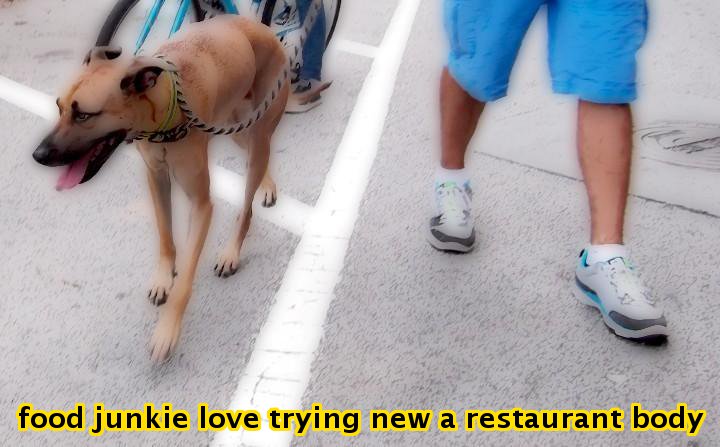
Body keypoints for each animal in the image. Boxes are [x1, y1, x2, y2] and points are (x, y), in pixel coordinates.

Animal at [32, 15, 290, 362]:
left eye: (84, 114)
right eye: (59, 107)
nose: (38, 155)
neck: (166, 107)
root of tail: (263, 28)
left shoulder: (201, 204)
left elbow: (184, 284)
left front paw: (166, 331)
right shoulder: (156, 178)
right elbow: (165, 236)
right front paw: (164, 277)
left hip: (258, 131)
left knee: (247, 202)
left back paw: (233, 249)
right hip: (237, 127)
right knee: (255, 154)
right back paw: (267, 185)